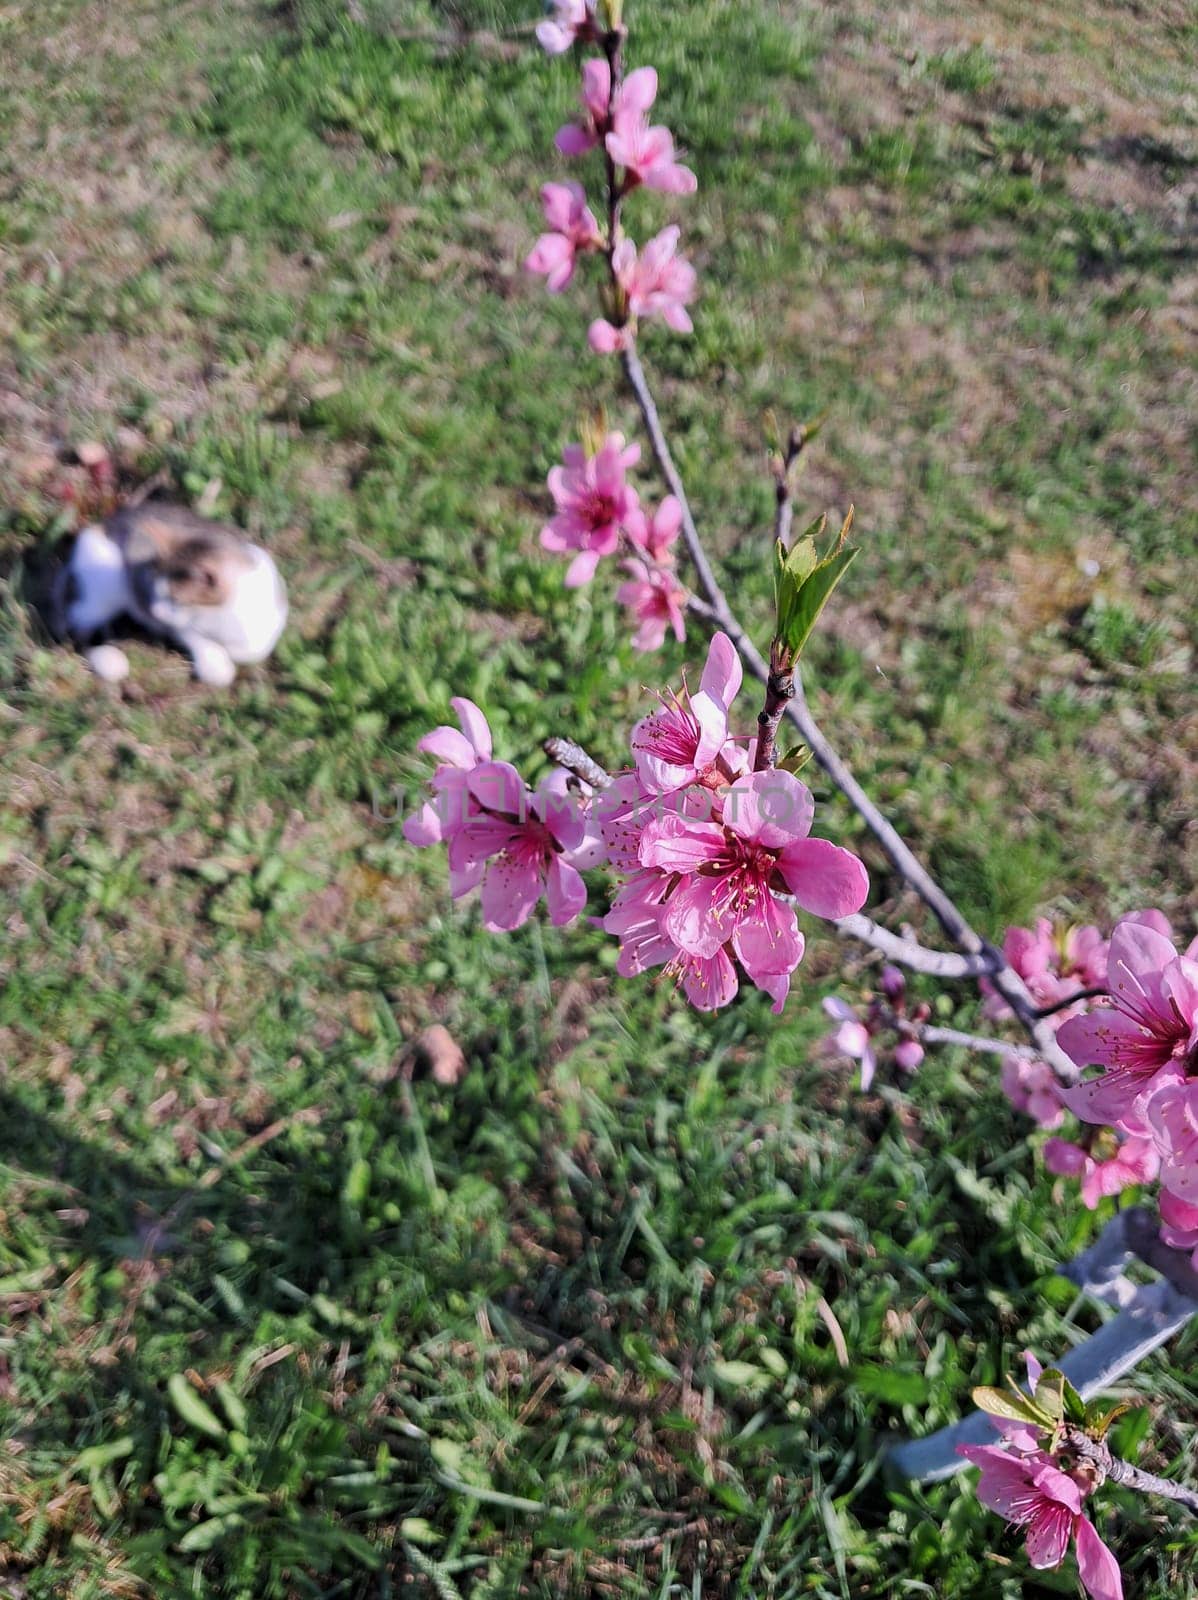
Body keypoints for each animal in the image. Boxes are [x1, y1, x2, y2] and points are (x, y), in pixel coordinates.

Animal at [56, 502, 289, 684]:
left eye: (177, 599)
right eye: (155, 587)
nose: (154, 611)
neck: (219, 614)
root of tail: (99, 526)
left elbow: (254, 649)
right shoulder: (180, 626)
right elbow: (198, 641)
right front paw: (216, 665)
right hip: (102, 588)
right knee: (75, 631)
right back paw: (109, 658)